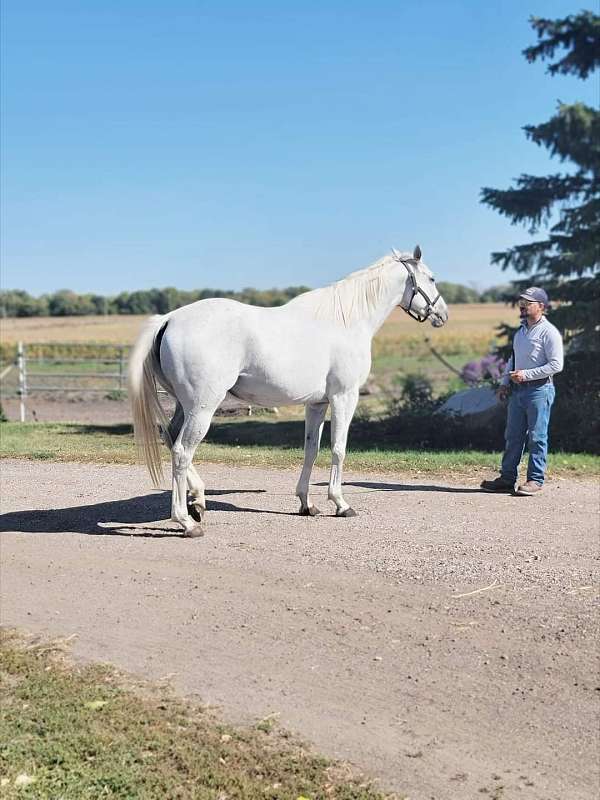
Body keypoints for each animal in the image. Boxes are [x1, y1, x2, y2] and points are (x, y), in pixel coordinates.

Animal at [132, 247, 450, 536]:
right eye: (432, 278)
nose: (443, 314)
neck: (346, 321)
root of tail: (169, 319)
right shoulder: (344, 397)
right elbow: (338, 448)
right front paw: (341, 504)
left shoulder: (317, 404)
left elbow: (311, 450)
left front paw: (306, 504)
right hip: (203, 408)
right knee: (181, 452)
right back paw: (185, 521)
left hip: (184, 406)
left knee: (171, 438)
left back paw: (198, 502)